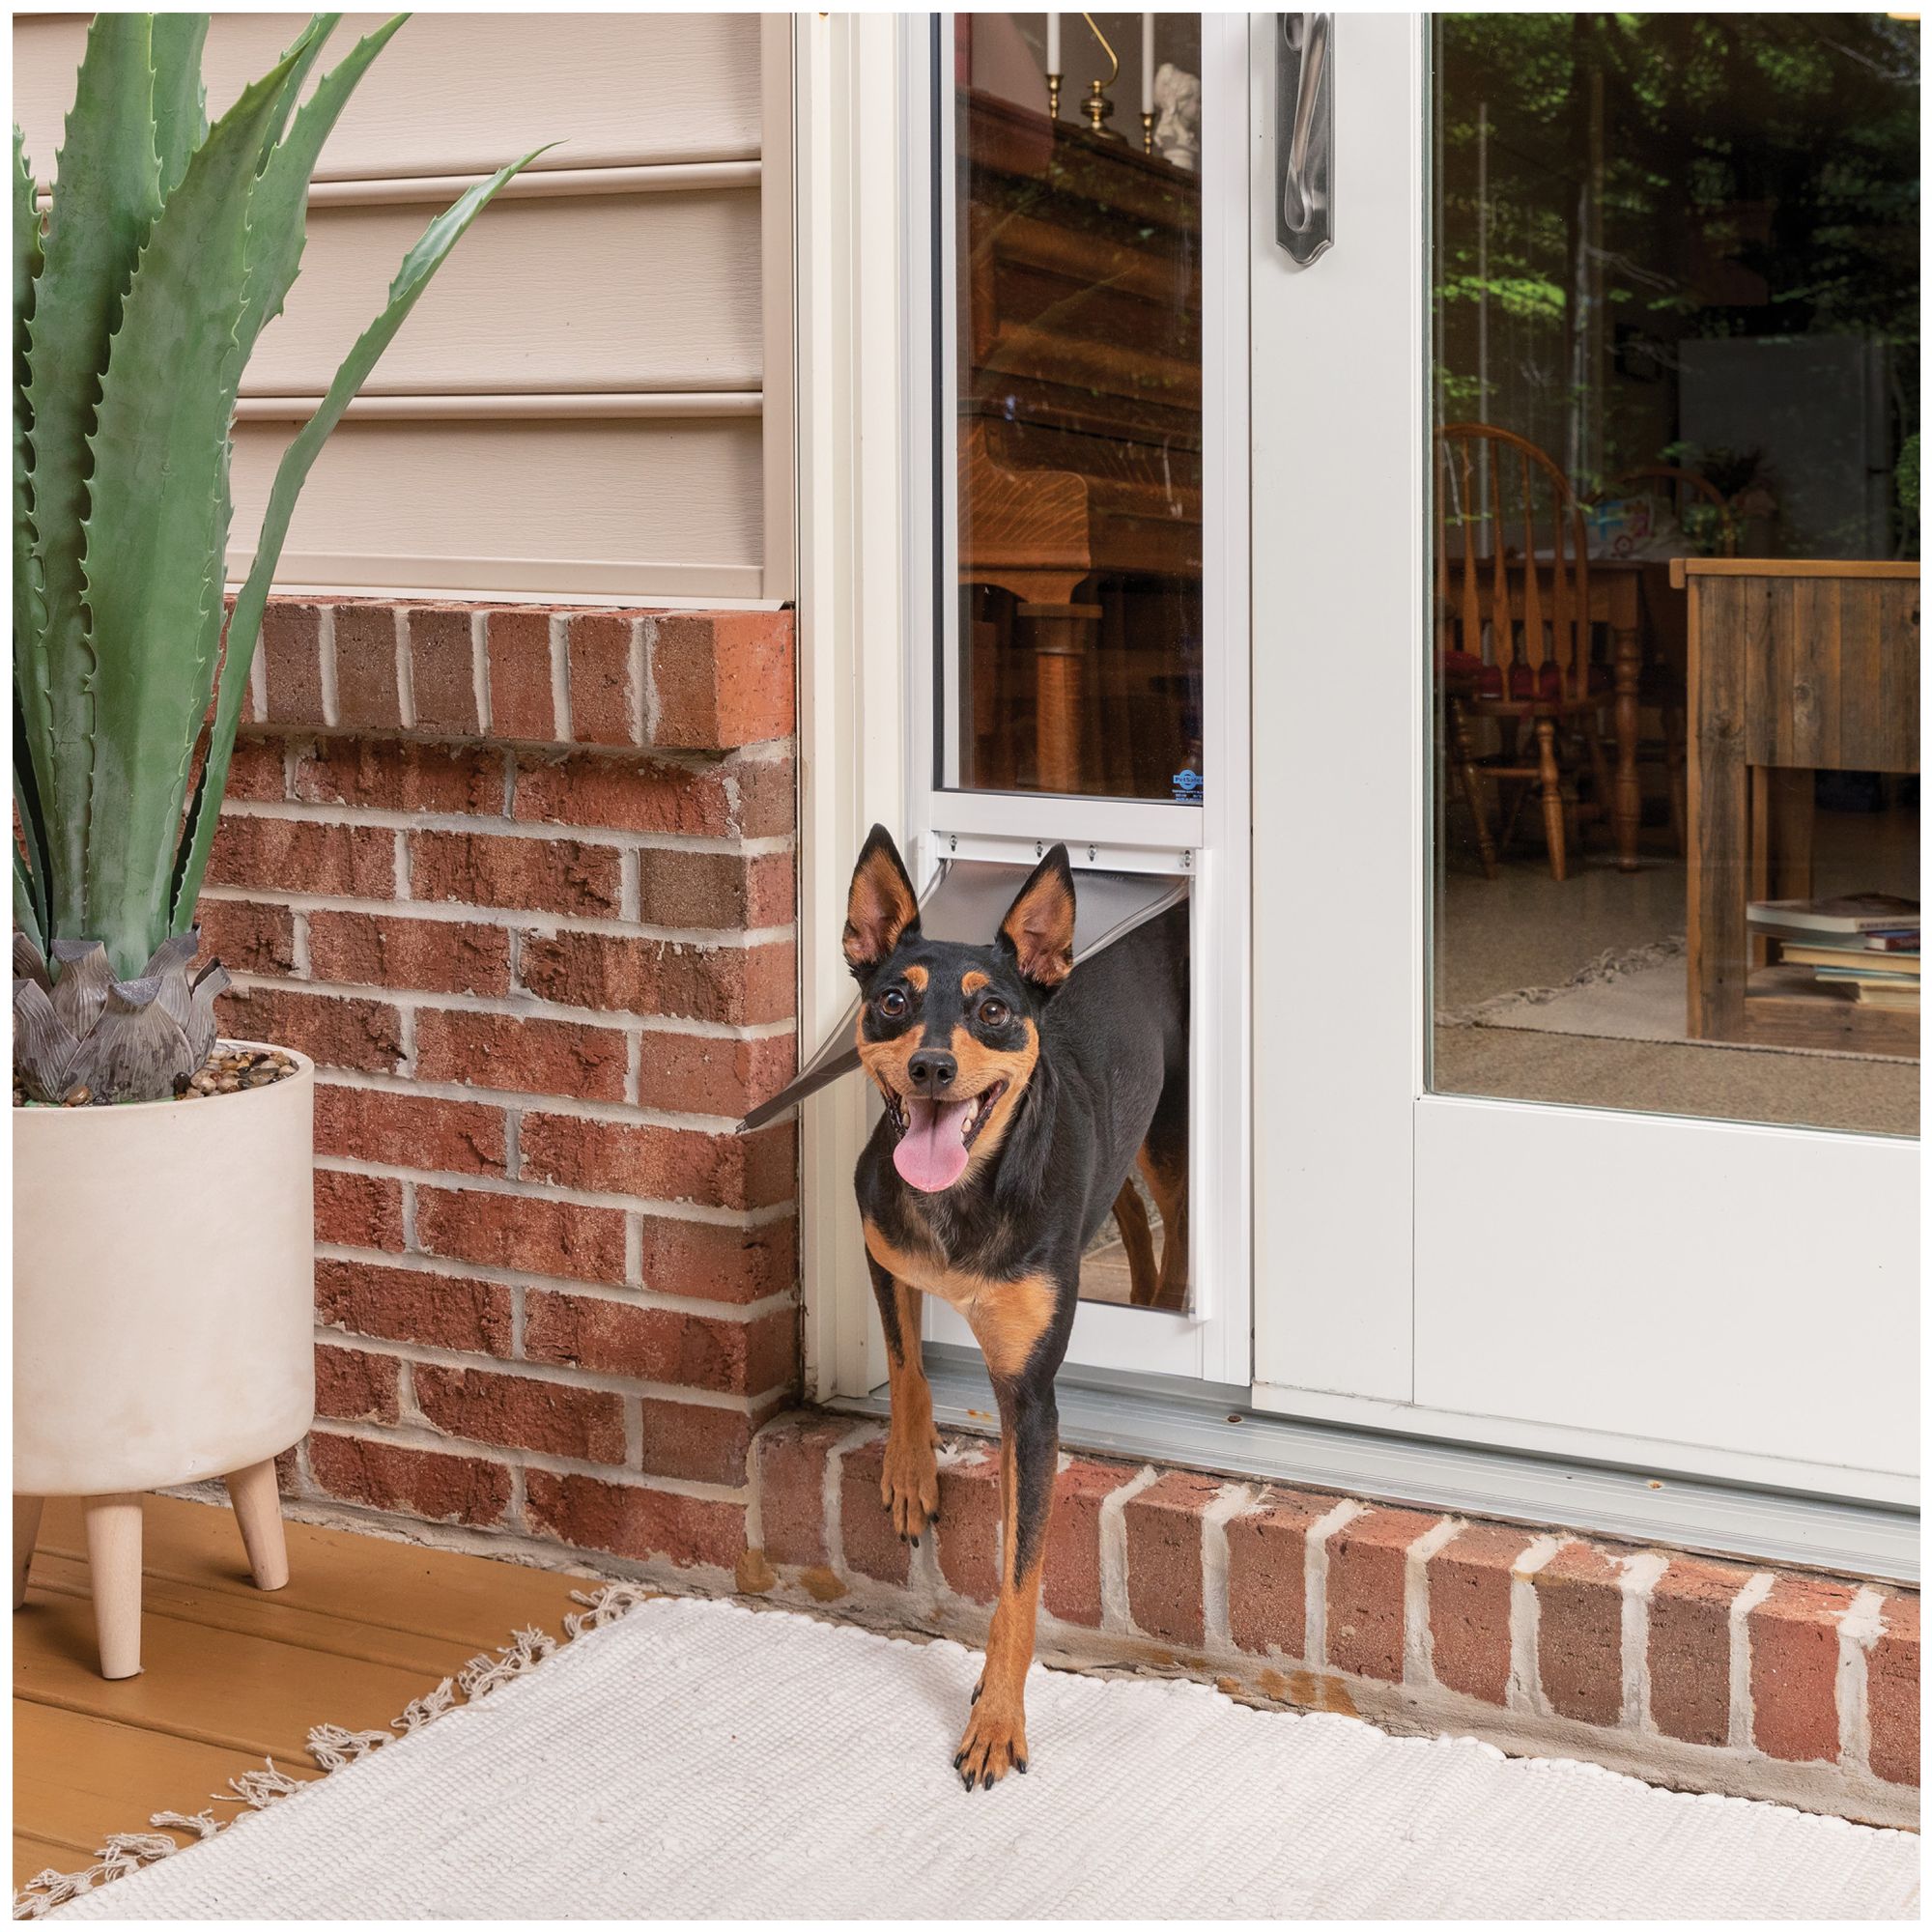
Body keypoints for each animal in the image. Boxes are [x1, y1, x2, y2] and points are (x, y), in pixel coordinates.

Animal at [850, 823, 1190, 1785]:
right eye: (893, 999)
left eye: (992, 1011)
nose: (931, 1065)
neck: (961, 1195)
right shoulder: (879, 1243)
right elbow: (904, 1359)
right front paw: (911, 1471)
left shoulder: (1031, 1400)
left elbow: (1019, 1576)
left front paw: (996, 1721)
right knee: (1128, 1216)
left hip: (1168, 1132)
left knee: (1174, 1222)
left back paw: (1165, 1294)